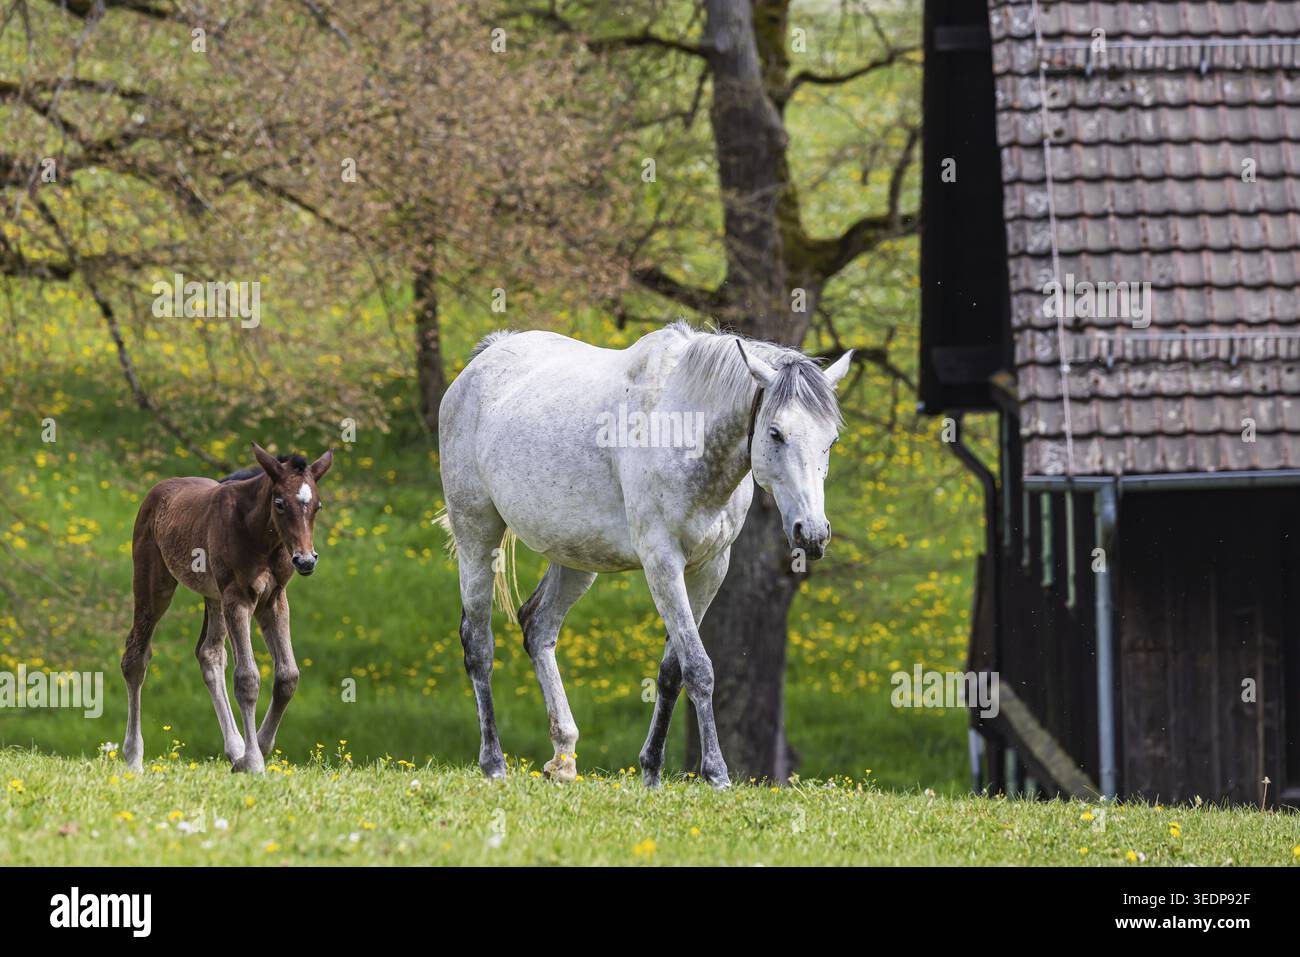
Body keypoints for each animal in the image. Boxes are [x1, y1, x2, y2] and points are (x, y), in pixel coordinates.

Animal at [121, 443, 333, 773]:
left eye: (318, 506)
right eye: (280, 503)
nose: (305, 560)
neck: (260, 536)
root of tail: (155, 492)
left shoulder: (274, 599)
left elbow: (288, 676)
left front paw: (255, 750)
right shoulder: (238, 596)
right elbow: (247, 679)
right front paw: (255, 762)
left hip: (214, 597)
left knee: (209, 653)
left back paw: (235, 749)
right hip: (155, 583)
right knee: (136, 656)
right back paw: (133, 756)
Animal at [437, 321, 851, 787]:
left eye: (831, 439)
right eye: (776, 433)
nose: (812, 533)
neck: (684, 424)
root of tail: (482, 361)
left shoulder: (710, 568)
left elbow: (673, 671)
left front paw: (651, 771)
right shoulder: (662, 563)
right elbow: (699, 668)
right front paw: (716, 774)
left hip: (574, 559)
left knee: (538, 628)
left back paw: (563, 759)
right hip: (477, 535)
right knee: (478, 645)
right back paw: (494, 764)